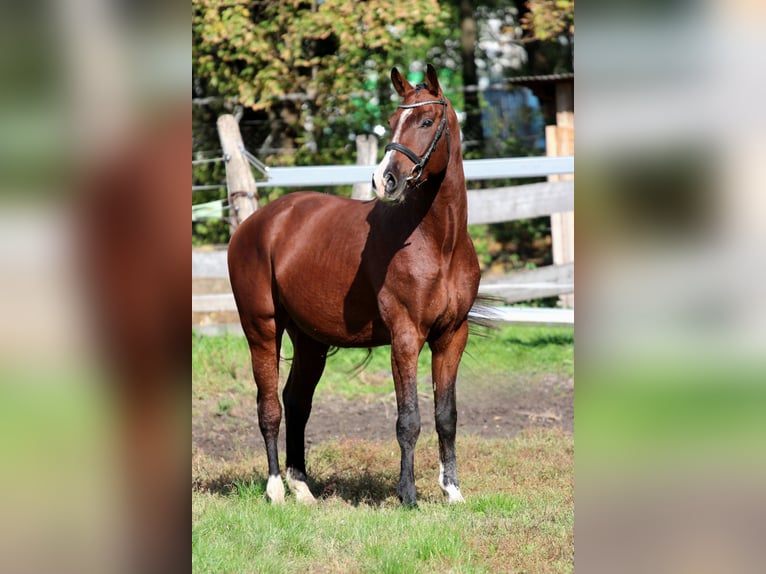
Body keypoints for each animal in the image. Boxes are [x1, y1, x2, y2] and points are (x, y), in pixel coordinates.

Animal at [228, 64, 480, 508]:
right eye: (393, 121)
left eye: (426, 121)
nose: (385, 180)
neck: (438, 243)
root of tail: (256, 225)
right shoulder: (405, 337)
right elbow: (408, 419)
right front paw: (408, 496)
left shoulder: (452, 336)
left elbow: (445, 416)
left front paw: (452, 492)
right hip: (262, 329)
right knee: (269, 407)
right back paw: (275, 489)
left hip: (309, 340)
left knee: (297, 402)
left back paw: (302, 487)